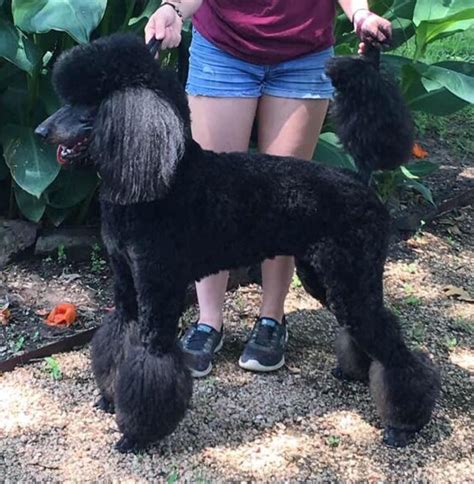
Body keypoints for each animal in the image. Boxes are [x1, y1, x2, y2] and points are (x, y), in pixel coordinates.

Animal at [36, 35, 440, 454]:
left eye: (90, 102)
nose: (40, 131)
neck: (165, 181)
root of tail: (361, 180)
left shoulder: (157, 287)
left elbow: (151, 359)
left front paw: (136, 433)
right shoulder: (127, 287)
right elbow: (118, 340)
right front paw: (109, 397)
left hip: (350, 275)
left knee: (391, 344)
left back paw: (405, 421)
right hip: (325, 275)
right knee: (365, 329)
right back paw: (357, 372)